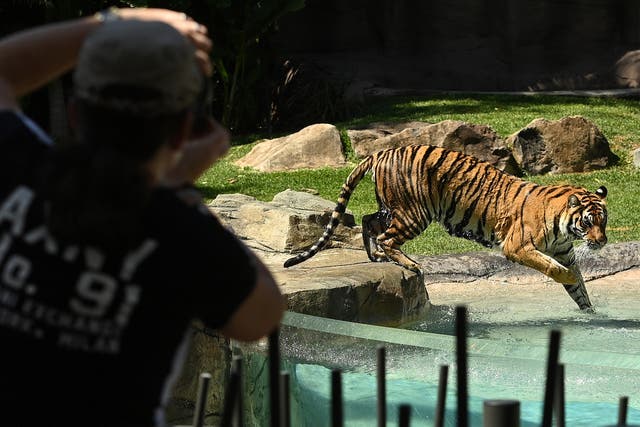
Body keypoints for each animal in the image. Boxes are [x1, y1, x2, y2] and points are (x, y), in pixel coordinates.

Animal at [286, 144, 608, 310]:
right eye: (588, 221)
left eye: (603, 221)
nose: (601, 241)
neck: (564, 226)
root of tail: (383, 152)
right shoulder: (518, 247)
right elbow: (555, 269)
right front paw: (569, 279)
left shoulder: (565, 251)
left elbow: (579, 288)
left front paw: (591, 313)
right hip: (415, 212)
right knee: (388, 237)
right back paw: (409, 264)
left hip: (391, 207)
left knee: (368, 220)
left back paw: (375, 256)